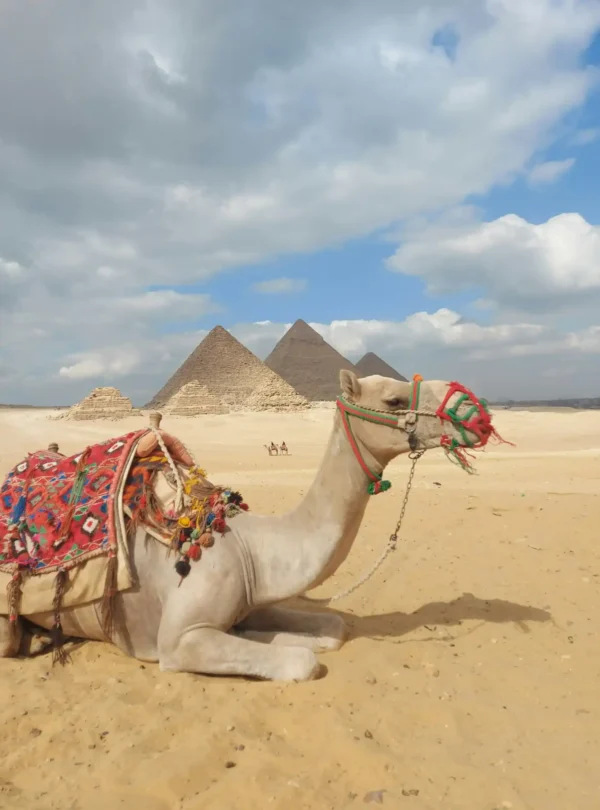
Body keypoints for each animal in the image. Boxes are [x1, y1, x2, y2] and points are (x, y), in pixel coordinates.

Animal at [0, 371, 501, 681]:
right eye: (393, 400)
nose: (476, 414)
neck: (248, 545)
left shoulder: (250, 599)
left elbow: (331, 629)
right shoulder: (180, 641)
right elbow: (301, 661)